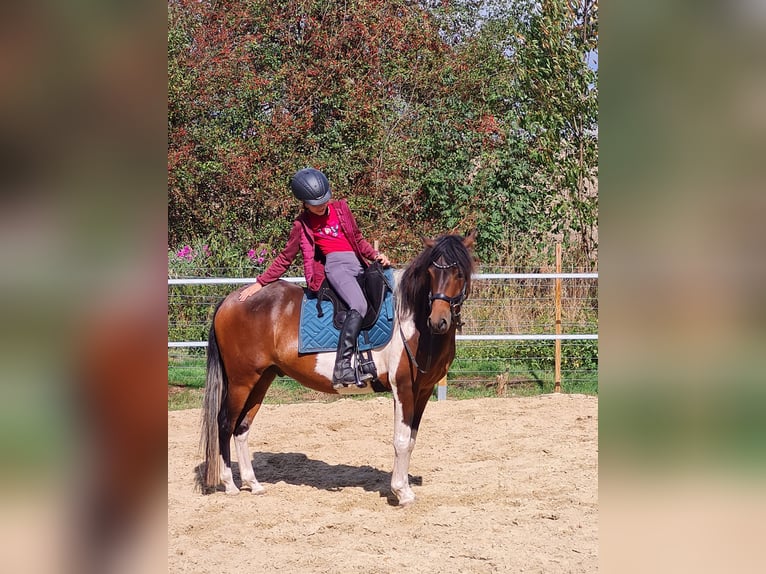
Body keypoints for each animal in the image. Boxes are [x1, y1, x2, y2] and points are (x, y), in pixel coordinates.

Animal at [200, 230, 476, 506]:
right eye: (430, 272)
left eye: (459, 273)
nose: (438, 321)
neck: (411, 319)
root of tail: (230, 300)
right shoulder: (403, 388)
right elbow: (400, 440)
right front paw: (401, 492)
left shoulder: (423, 391)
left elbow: (410, 441)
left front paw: (405, 489)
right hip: (241, 381)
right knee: (224, 424)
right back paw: (230, 484)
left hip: (261, 379)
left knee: (242, 427)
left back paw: (253, 483)